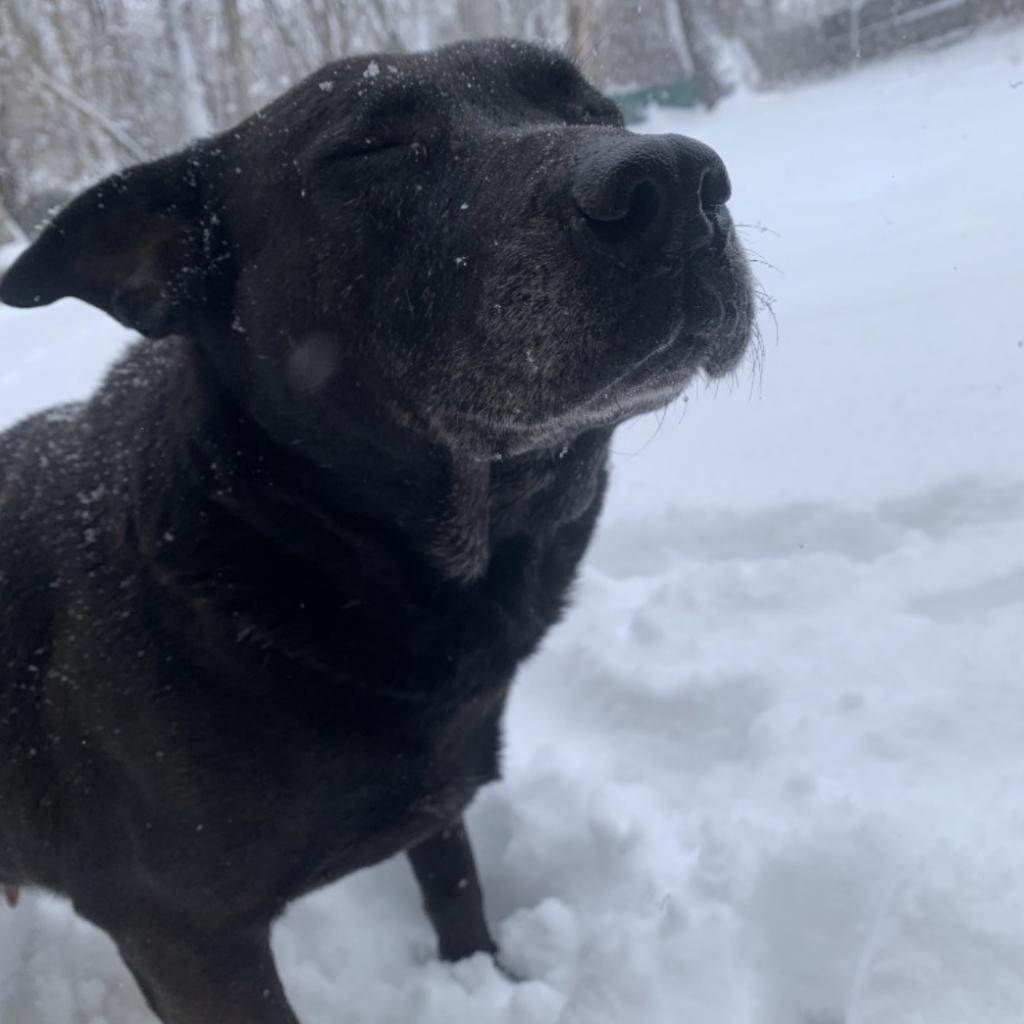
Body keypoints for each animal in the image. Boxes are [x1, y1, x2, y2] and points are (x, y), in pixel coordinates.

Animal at [0, 37, 753, 1024]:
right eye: (366, 151)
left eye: (594, 111)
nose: (677, 181)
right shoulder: (186, 937)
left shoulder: (439, 803)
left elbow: (458, 891)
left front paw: (486, 986)